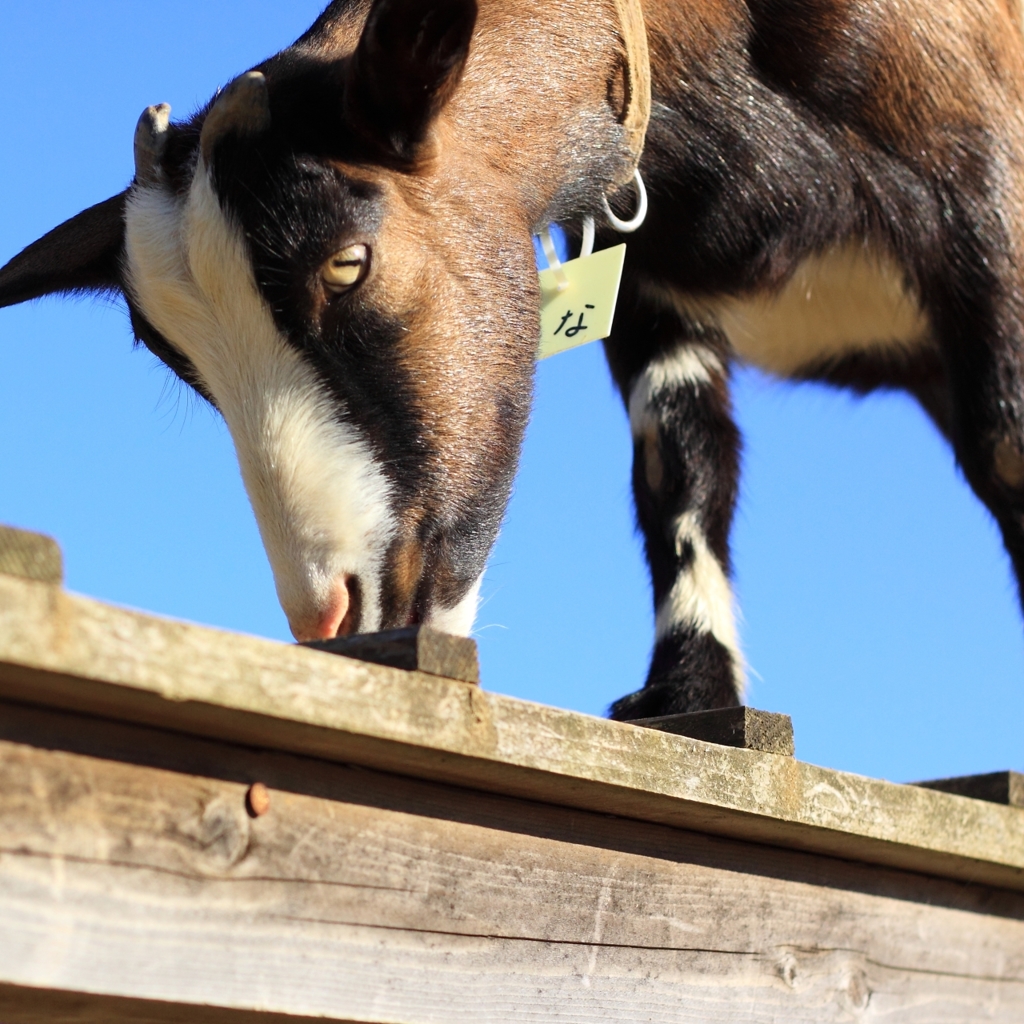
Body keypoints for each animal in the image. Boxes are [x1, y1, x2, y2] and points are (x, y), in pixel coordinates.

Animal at [2, 0, 1024, 720]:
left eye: (347, 262)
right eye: (179, 358)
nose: (330, 614)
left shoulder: (990, 211)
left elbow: (1009, 450)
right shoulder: (654, 289)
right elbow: (680, 465)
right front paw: (688, 695)